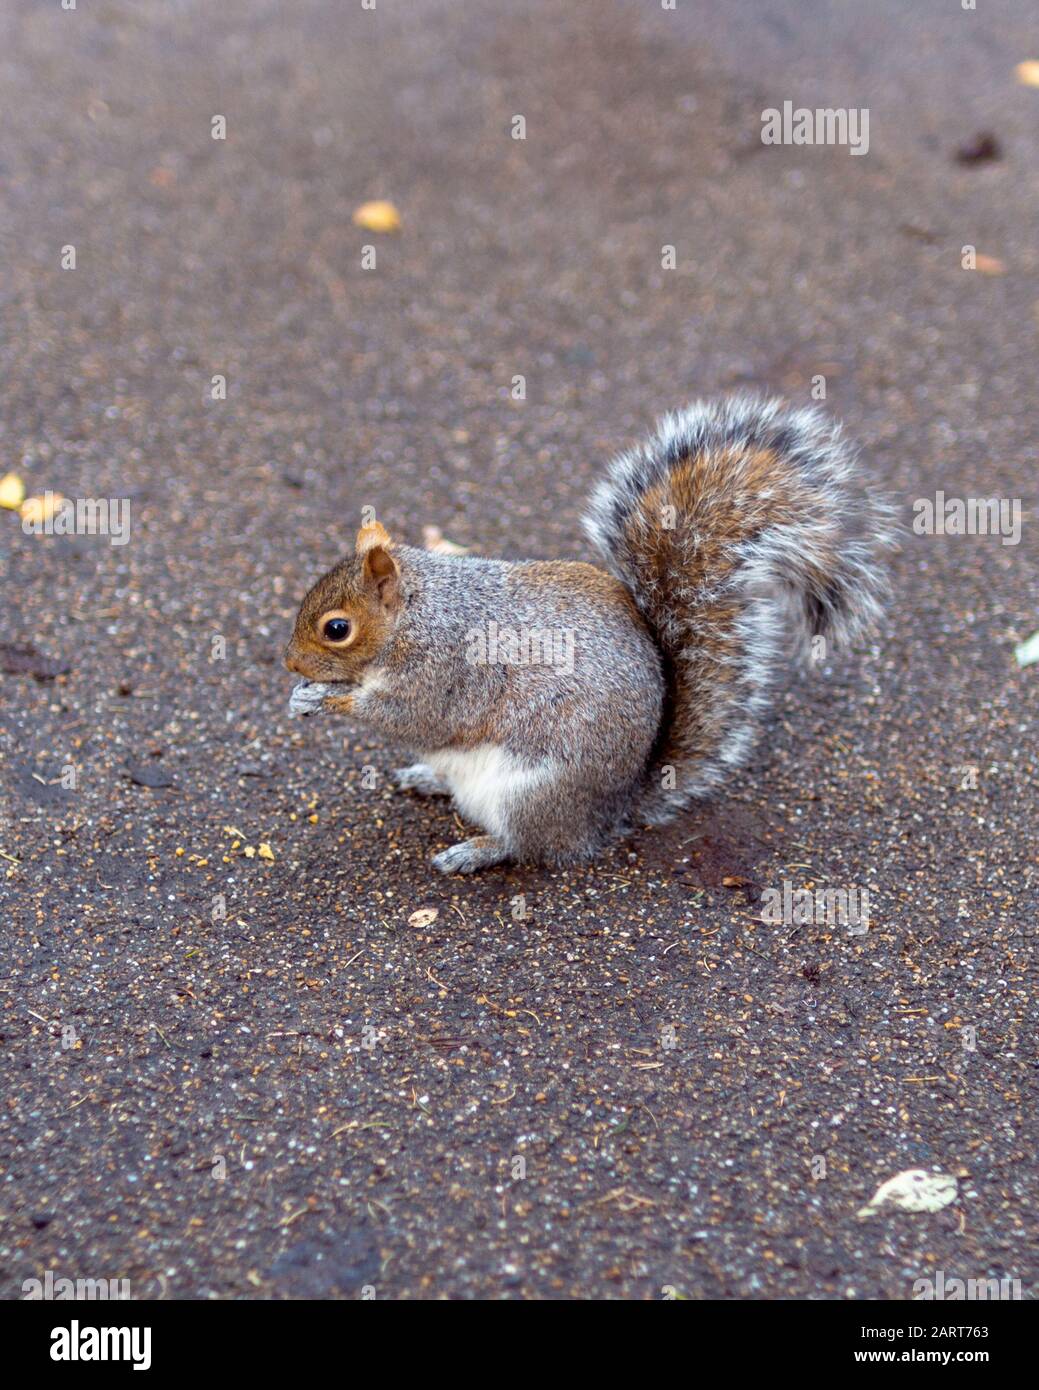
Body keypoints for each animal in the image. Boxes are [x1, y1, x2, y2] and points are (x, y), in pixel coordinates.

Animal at [285, 394, 897, 874]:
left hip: (532, 792)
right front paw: (302, 696)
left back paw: (476, 850)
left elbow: (414, 717)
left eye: (337, 629)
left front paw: (327, 699)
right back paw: (427, 778)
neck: (418, 616)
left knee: (530, 845)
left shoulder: (445, 670)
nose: (291, 665)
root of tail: (613, 809)